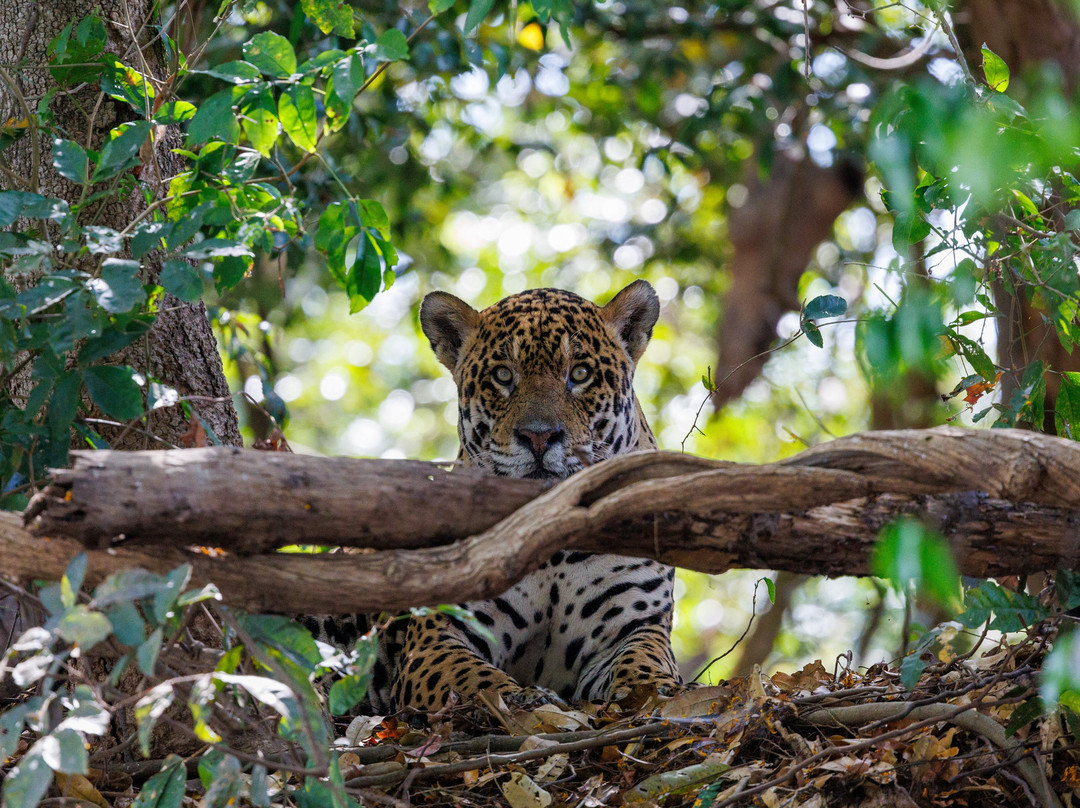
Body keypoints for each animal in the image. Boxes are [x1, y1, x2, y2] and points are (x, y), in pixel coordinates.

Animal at [305, 280, 682, 712]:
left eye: (580, 373)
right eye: (503, 375)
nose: (539, 436)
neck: (550, 548)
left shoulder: (635, 624)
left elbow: (645, 658)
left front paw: (654, 690)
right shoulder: (438, 634)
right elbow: (472, 678)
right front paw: (522, 699)